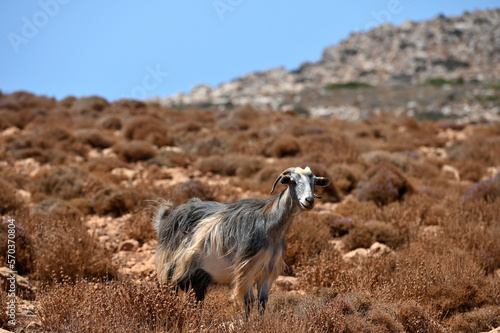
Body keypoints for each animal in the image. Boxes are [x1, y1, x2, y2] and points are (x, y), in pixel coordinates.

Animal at [154, 166, 330, 314]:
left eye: (314, 182)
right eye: (292, 181)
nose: (309, 200)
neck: (268, 224)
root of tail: (169, 217)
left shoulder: (266, 272)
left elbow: (262, 302)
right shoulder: (246, 269)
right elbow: (248, 302)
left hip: (199, 276)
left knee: (196, 300)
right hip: (173, 269)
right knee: (172, 292)